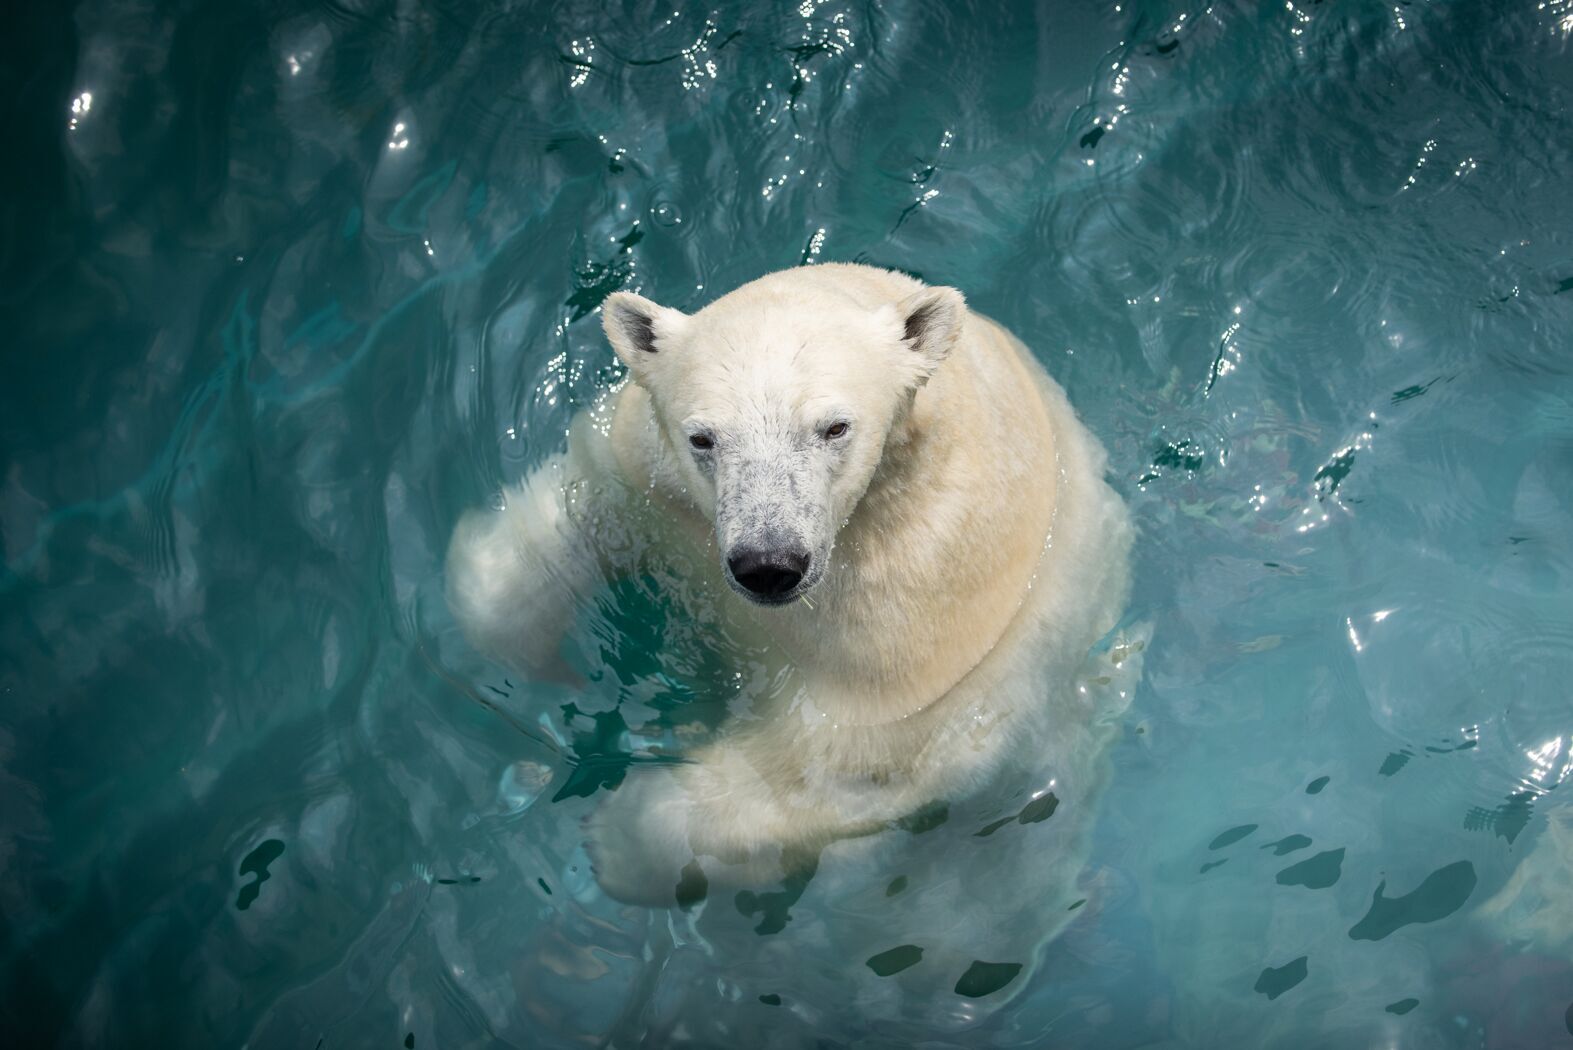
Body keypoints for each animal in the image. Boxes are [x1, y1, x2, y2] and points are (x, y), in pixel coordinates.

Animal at [449, 267, 1138, 924]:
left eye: (834, 427)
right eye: (703, 437)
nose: (768, 563)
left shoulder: (918, 608)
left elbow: (829, 764)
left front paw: (613, 841)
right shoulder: (646, 482)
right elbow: (556, 530)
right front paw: (533, 669)